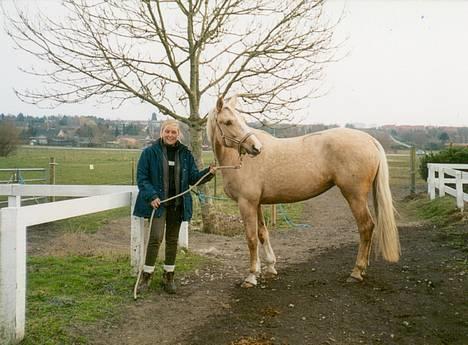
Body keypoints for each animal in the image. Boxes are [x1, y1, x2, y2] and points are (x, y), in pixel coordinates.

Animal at [207, 95, 400, 286]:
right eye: (228, 122)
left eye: (240, 120)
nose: (256, 148)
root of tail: (370, 140)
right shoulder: (257, 203)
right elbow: (262, 233)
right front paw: (270, 267)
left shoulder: (246, 203)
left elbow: (251, 238)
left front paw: (251, 276)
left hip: (355, 196)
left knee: (366, 226)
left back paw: (356, 271)